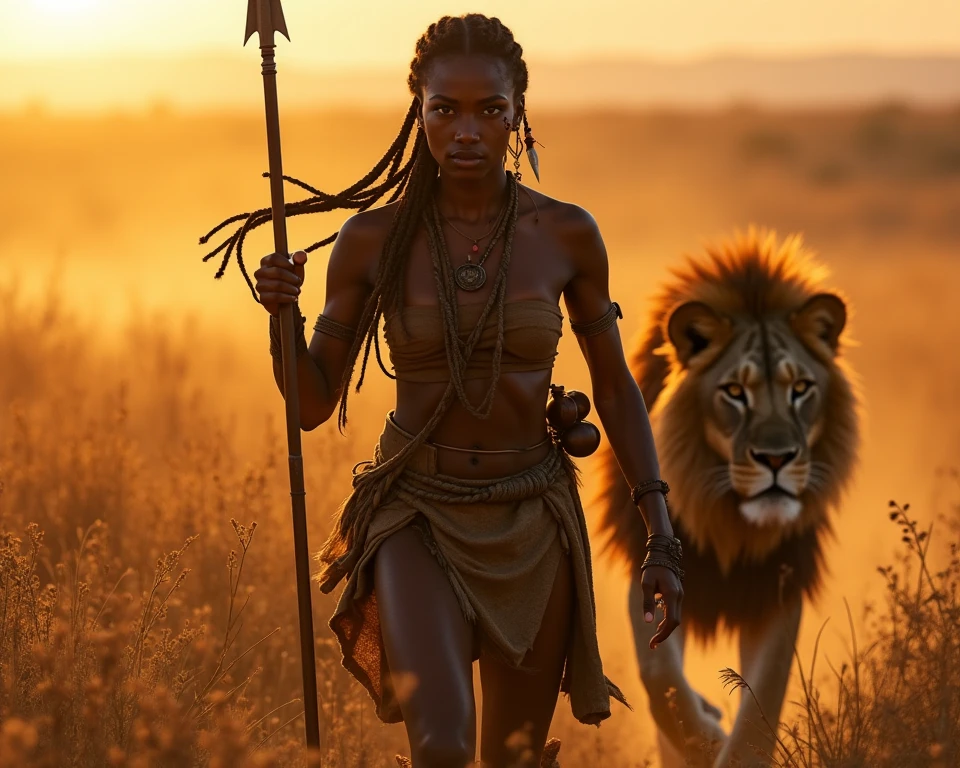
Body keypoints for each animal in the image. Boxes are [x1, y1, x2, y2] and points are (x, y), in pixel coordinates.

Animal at [595, 228, 860, 767]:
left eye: (802, 388)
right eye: (735, 392)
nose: (776, 458)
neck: (729, 523)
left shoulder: (777, 586)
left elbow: (764, 701)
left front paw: (731, 750)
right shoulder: (650, 571)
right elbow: (660, 681)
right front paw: (706, 739)